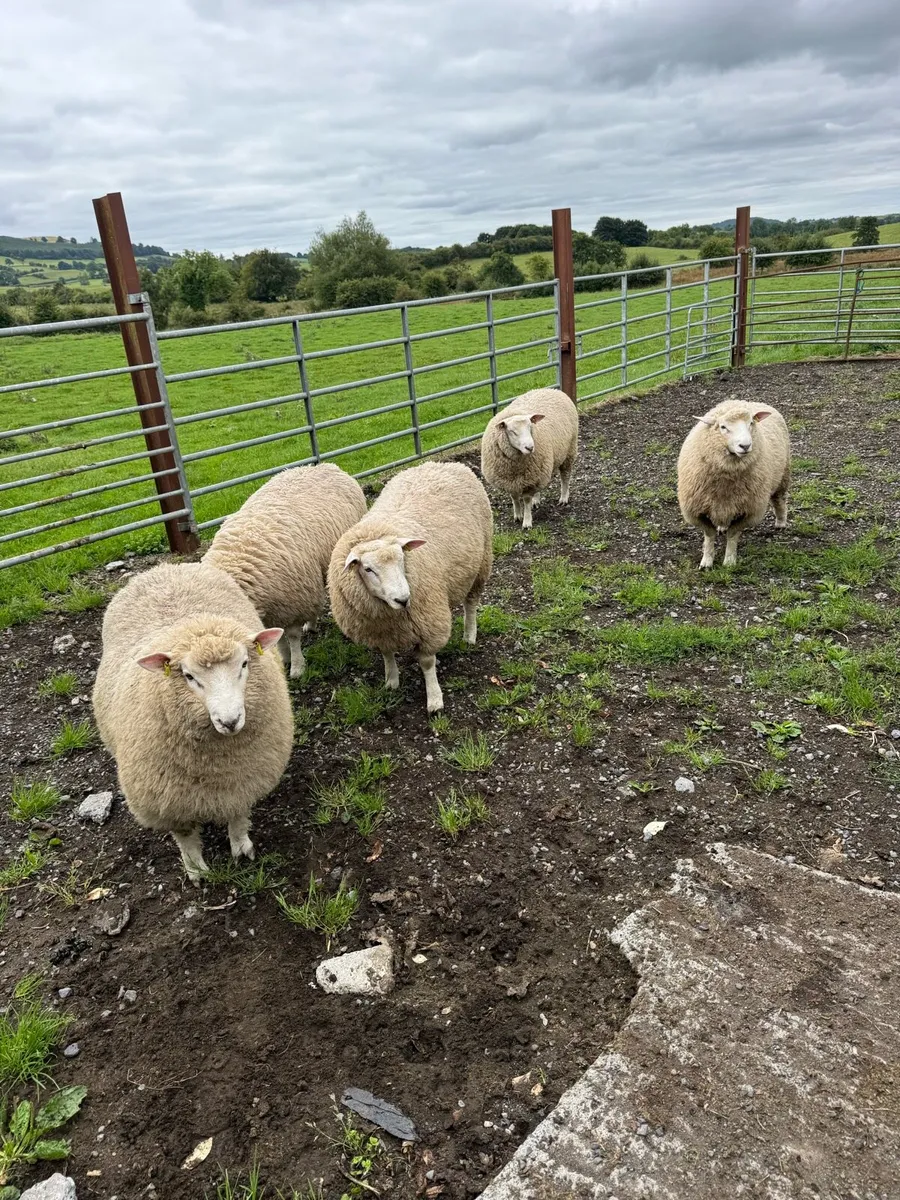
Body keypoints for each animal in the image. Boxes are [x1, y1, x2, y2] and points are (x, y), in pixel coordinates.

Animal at [91, 562, 294, 884]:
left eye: (245, 664)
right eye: (188, 676)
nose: (230, 721)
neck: (216, 766)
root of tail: (166, 567)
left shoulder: (242, 779)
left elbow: (238, 815)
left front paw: (241, 848)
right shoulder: (168, 799)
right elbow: (185, 835)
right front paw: (196, 870)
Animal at [204, 463, 367, 678]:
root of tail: (324, 465)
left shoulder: (292, 601)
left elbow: (292, 636)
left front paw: (297, 666)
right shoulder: (274, 608)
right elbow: (277, 637)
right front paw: (284, 658)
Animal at [327, 461, 493, 713]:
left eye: (402, 558)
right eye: (368, 569)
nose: (403, 599)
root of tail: (443, 463)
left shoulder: (428, 622)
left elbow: (426, 662)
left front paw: (434, 699)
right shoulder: (379, 630)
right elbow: (386, 654)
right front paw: (391, 680)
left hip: (481, 564)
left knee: (471, 604)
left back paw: (469, 634)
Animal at [480, 387, 579, 528]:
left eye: (530, 427)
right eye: (512, 432)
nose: (530, 447)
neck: (515, 467)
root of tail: (551, 389)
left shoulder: (529, 481)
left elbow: (526, 500)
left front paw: (527, 522)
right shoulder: (512, 481)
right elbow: (514, 497)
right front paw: (517, 515)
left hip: (569, 451)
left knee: (565, 475)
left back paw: (563, 498)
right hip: (540, 470)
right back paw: (536, 500)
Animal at [677, 399, 791, 569]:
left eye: (751, 423)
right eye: (723, 427)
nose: (745, 446)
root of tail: (750, 401)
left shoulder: (747, 510)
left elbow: (732, 535)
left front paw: (729, 561)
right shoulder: (697, 510)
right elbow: (709, 535)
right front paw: (706, 561)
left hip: (783, 474)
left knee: (779, 499)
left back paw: (781, 522)